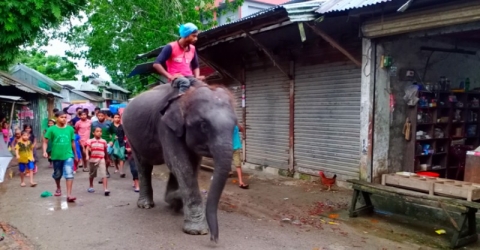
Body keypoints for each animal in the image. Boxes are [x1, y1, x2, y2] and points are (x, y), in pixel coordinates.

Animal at [122, 82, 238, 242]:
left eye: (235, 125)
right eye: (203, 125)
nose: (214, 239)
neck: (186, 95)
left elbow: (191, 164)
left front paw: (174, 200)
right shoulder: (165, 126)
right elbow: (180, 164)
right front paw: (197, 230)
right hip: (130, 135)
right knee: (143, 165)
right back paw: (145, 205)